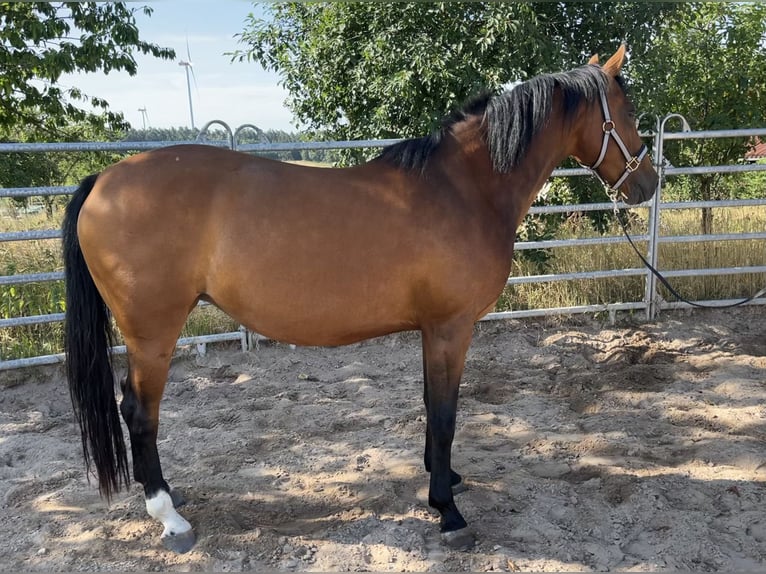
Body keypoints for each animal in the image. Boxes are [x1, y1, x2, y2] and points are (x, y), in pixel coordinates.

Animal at [61, 46, 660, 552]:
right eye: (628, 110)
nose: (648, 184)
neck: (464, 188)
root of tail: (102, 181)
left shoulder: (432, 329)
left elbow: (431, 405)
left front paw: (444, 479)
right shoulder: (451, 326)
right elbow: (446, 413)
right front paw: (447, 512)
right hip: (153, 333)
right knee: (140, 413)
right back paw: (169, 516)